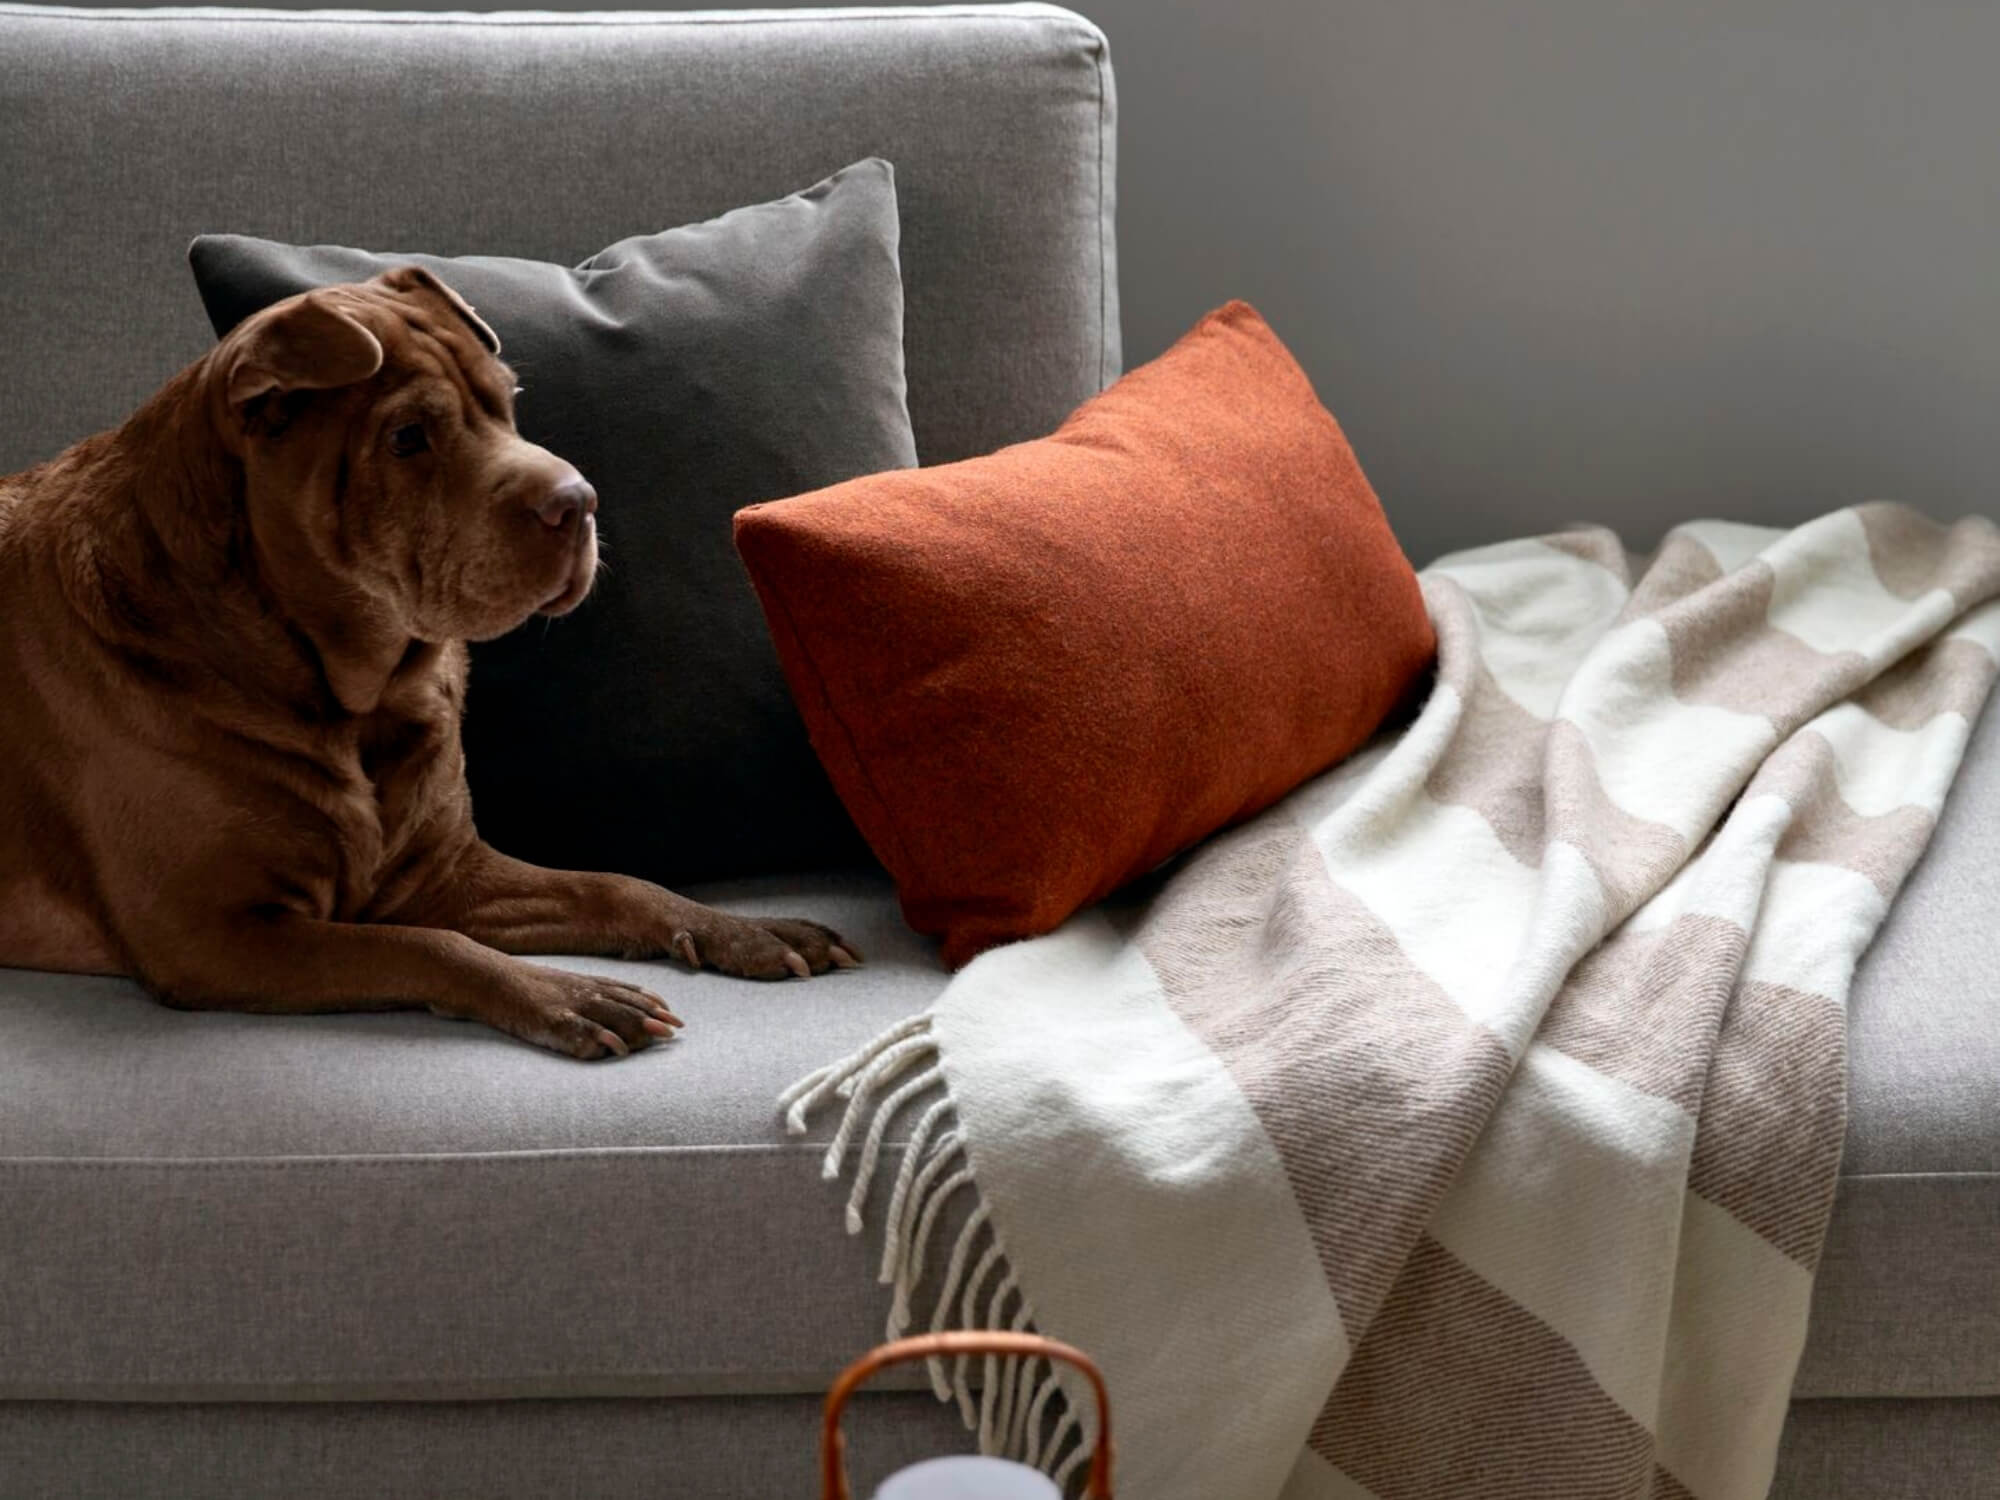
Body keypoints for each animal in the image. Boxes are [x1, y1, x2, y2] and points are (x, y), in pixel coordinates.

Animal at [0, 274, 860, 1072]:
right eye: (408, 437)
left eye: (507, 403)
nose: (579, 501)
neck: (355, 694)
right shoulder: (212, 933)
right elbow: (424, 945)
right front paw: (568, 995)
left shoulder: (443, 870)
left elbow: (613, 884)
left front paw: (744, 931)